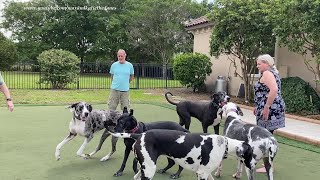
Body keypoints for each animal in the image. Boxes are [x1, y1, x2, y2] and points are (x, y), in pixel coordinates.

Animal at [110, 129, 255, 180]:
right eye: (252, 154)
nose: (253, 167)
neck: (224, 144)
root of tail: (139, 135)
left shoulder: (206, 173)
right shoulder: (202, 174)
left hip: (144, 169)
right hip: (149, 170)